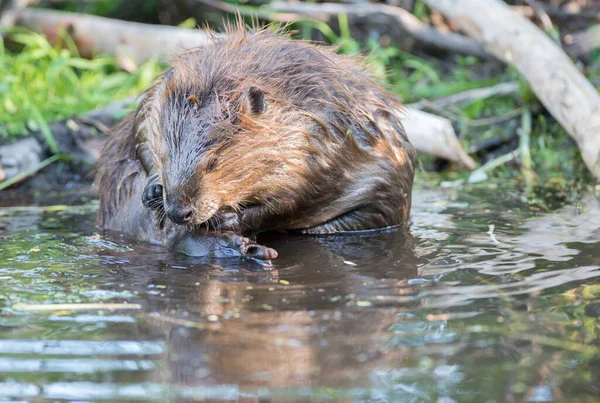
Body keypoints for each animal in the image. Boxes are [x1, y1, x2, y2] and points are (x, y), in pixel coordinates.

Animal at [96, 24, 414, 262]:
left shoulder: (317, 143)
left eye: (213, 162)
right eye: (164, 154)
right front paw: (153, 189)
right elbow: (141, 133)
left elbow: (292, 198)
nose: (178, 212)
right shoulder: (154, 102)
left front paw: (229, 219)